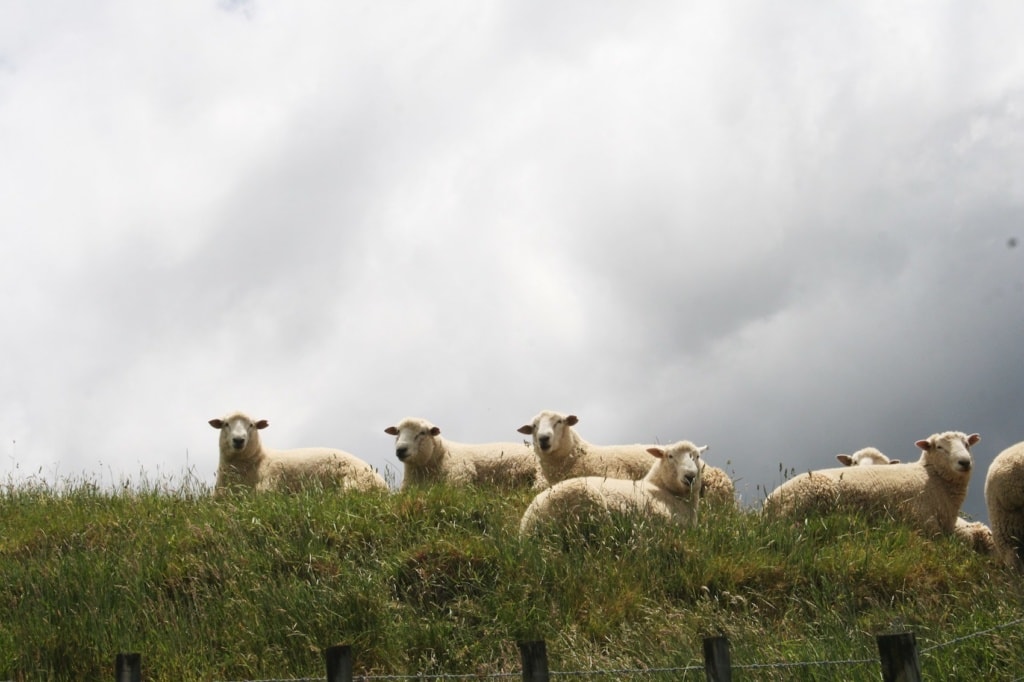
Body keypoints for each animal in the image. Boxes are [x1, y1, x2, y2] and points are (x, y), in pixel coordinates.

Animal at [210, 411, 388, 494]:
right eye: (226, 424)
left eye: (251, 425)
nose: (238, 440)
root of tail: (384, 485)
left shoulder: (268, 486)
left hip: (353, 485)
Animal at [763, 431, 980, 539]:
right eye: (940, 447)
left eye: (967, 445)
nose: (965, 462)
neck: (931, 476)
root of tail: (769, 502)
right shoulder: (924, 519)